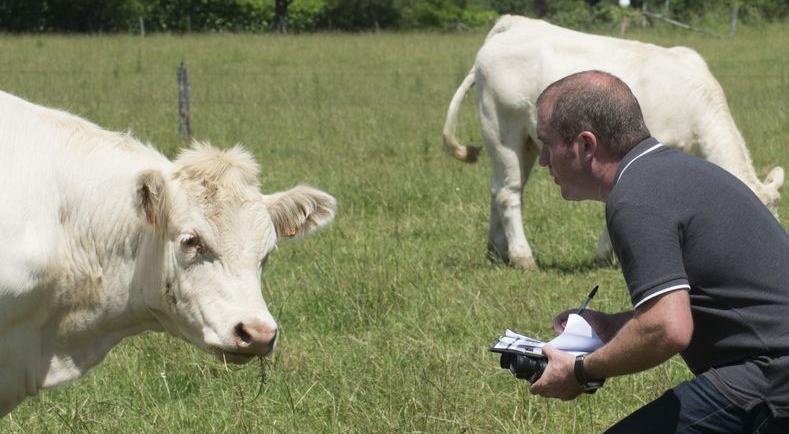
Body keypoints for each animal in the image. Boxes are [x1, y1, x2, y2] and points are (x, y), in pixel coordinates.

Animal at [444, 15, 780, 270]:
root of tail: (512, 23)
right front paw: (607, 254)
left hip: (524, 142)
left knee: (498, 188)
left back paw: (497, 251)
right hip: (502, 129)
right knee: (508, 192)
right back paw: (523, 257)